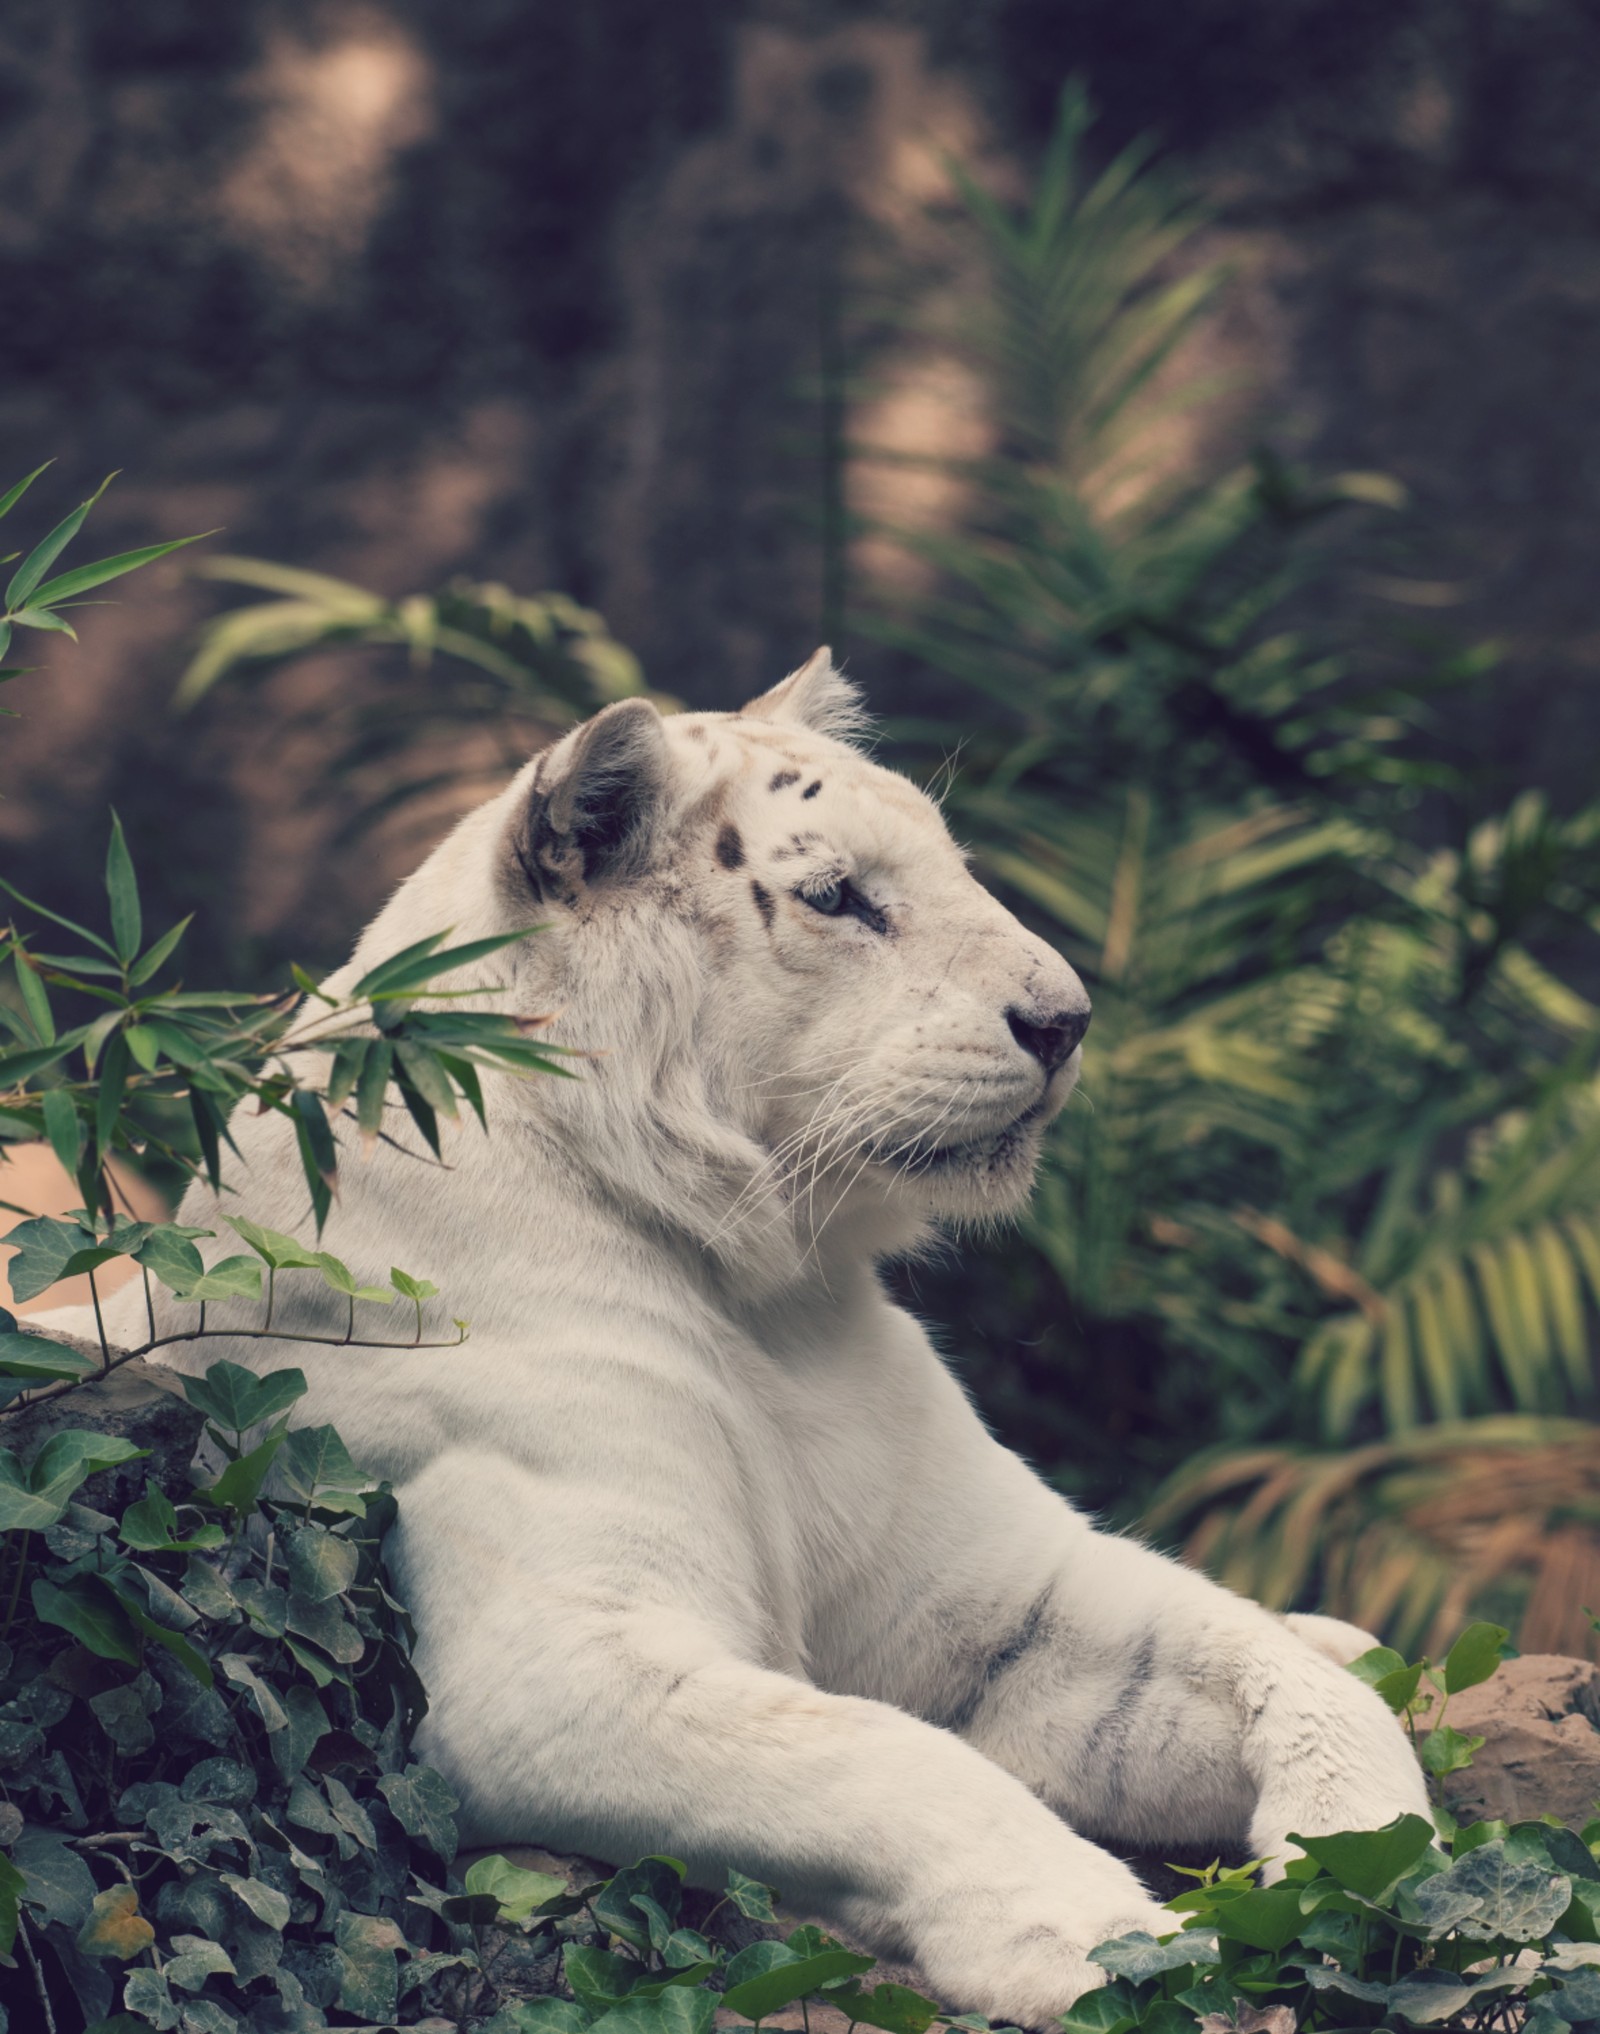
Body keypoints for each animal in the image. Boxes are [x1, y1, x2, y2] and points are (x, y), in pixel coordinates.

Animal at [62, 646, 1423, 2017]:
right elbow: (885, 1752)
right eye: (838, 897)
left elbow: (1263, 1663)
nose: (1067, 1020)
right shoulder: (551, 1662)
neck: (769, 1297)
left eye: (952, 864)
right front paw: (1096, 1939)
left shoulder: (998, 1601)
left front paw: (1356, 1846)